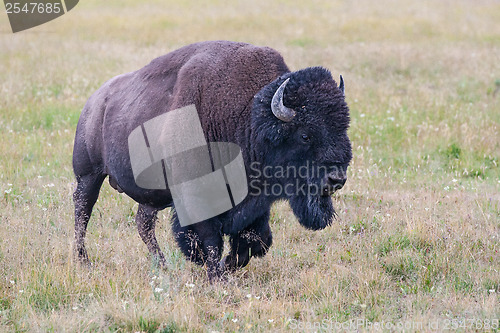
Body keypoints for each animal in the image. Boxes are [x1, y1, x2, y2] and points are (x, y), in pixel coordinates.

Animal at [73, 40, 352, 280]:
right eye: (305, 135)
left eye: (343, 127)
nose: (336, 179)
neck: (248, 118)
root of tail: (95, 101)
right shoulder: (198, 198)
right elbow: (210, 241)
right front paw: (217, 275)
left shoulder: (255, 204)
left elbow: (253, 241)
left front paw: (226, 267)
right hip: (88, 175)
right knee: (82, 212)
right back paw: (83, 261)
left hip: (150, 195)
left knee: (143, 223)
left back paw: (162, 265)